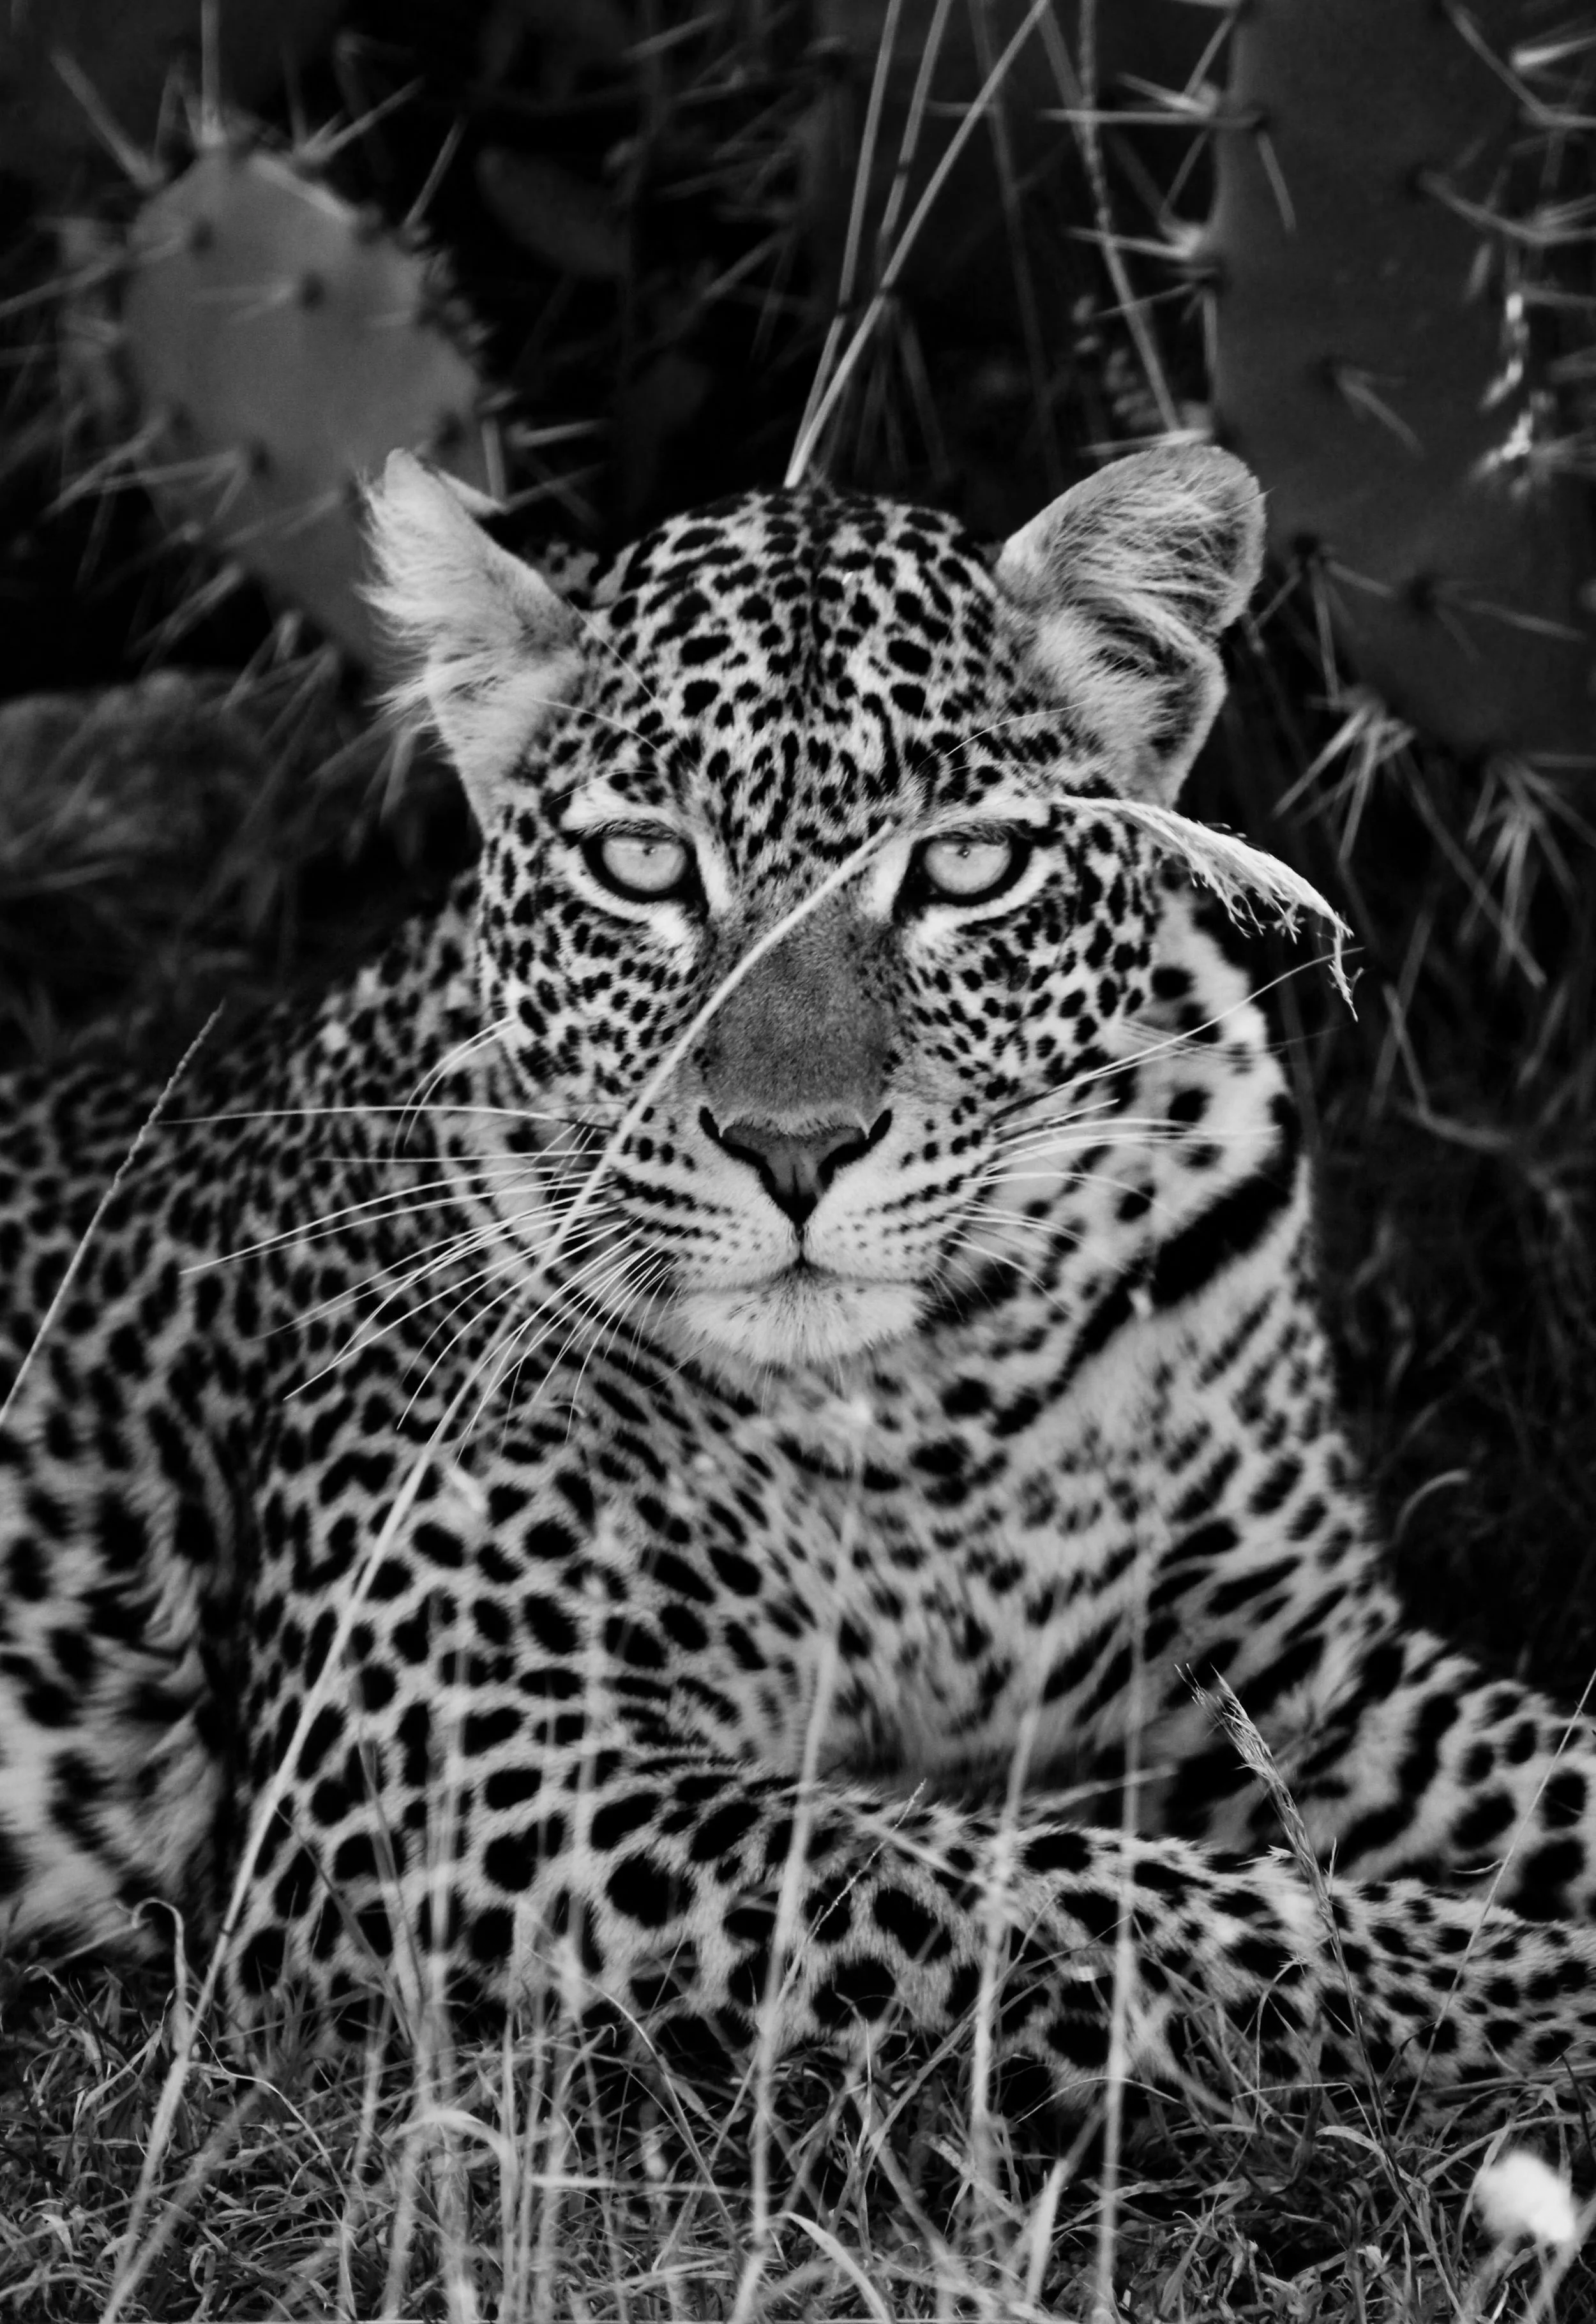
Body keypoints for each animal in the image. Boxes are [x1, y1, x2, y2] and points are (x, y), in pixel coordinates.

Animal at [4, 439, 1596, 2131]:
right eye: (642, 863)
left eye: (966, 865)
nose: (793, 1147)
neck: (939, 1394)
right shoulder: (458, 1777)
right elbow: (1108, 1906)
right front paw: (1550, 1995)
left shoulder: (1302, 1661)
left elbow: (1544, 1773)